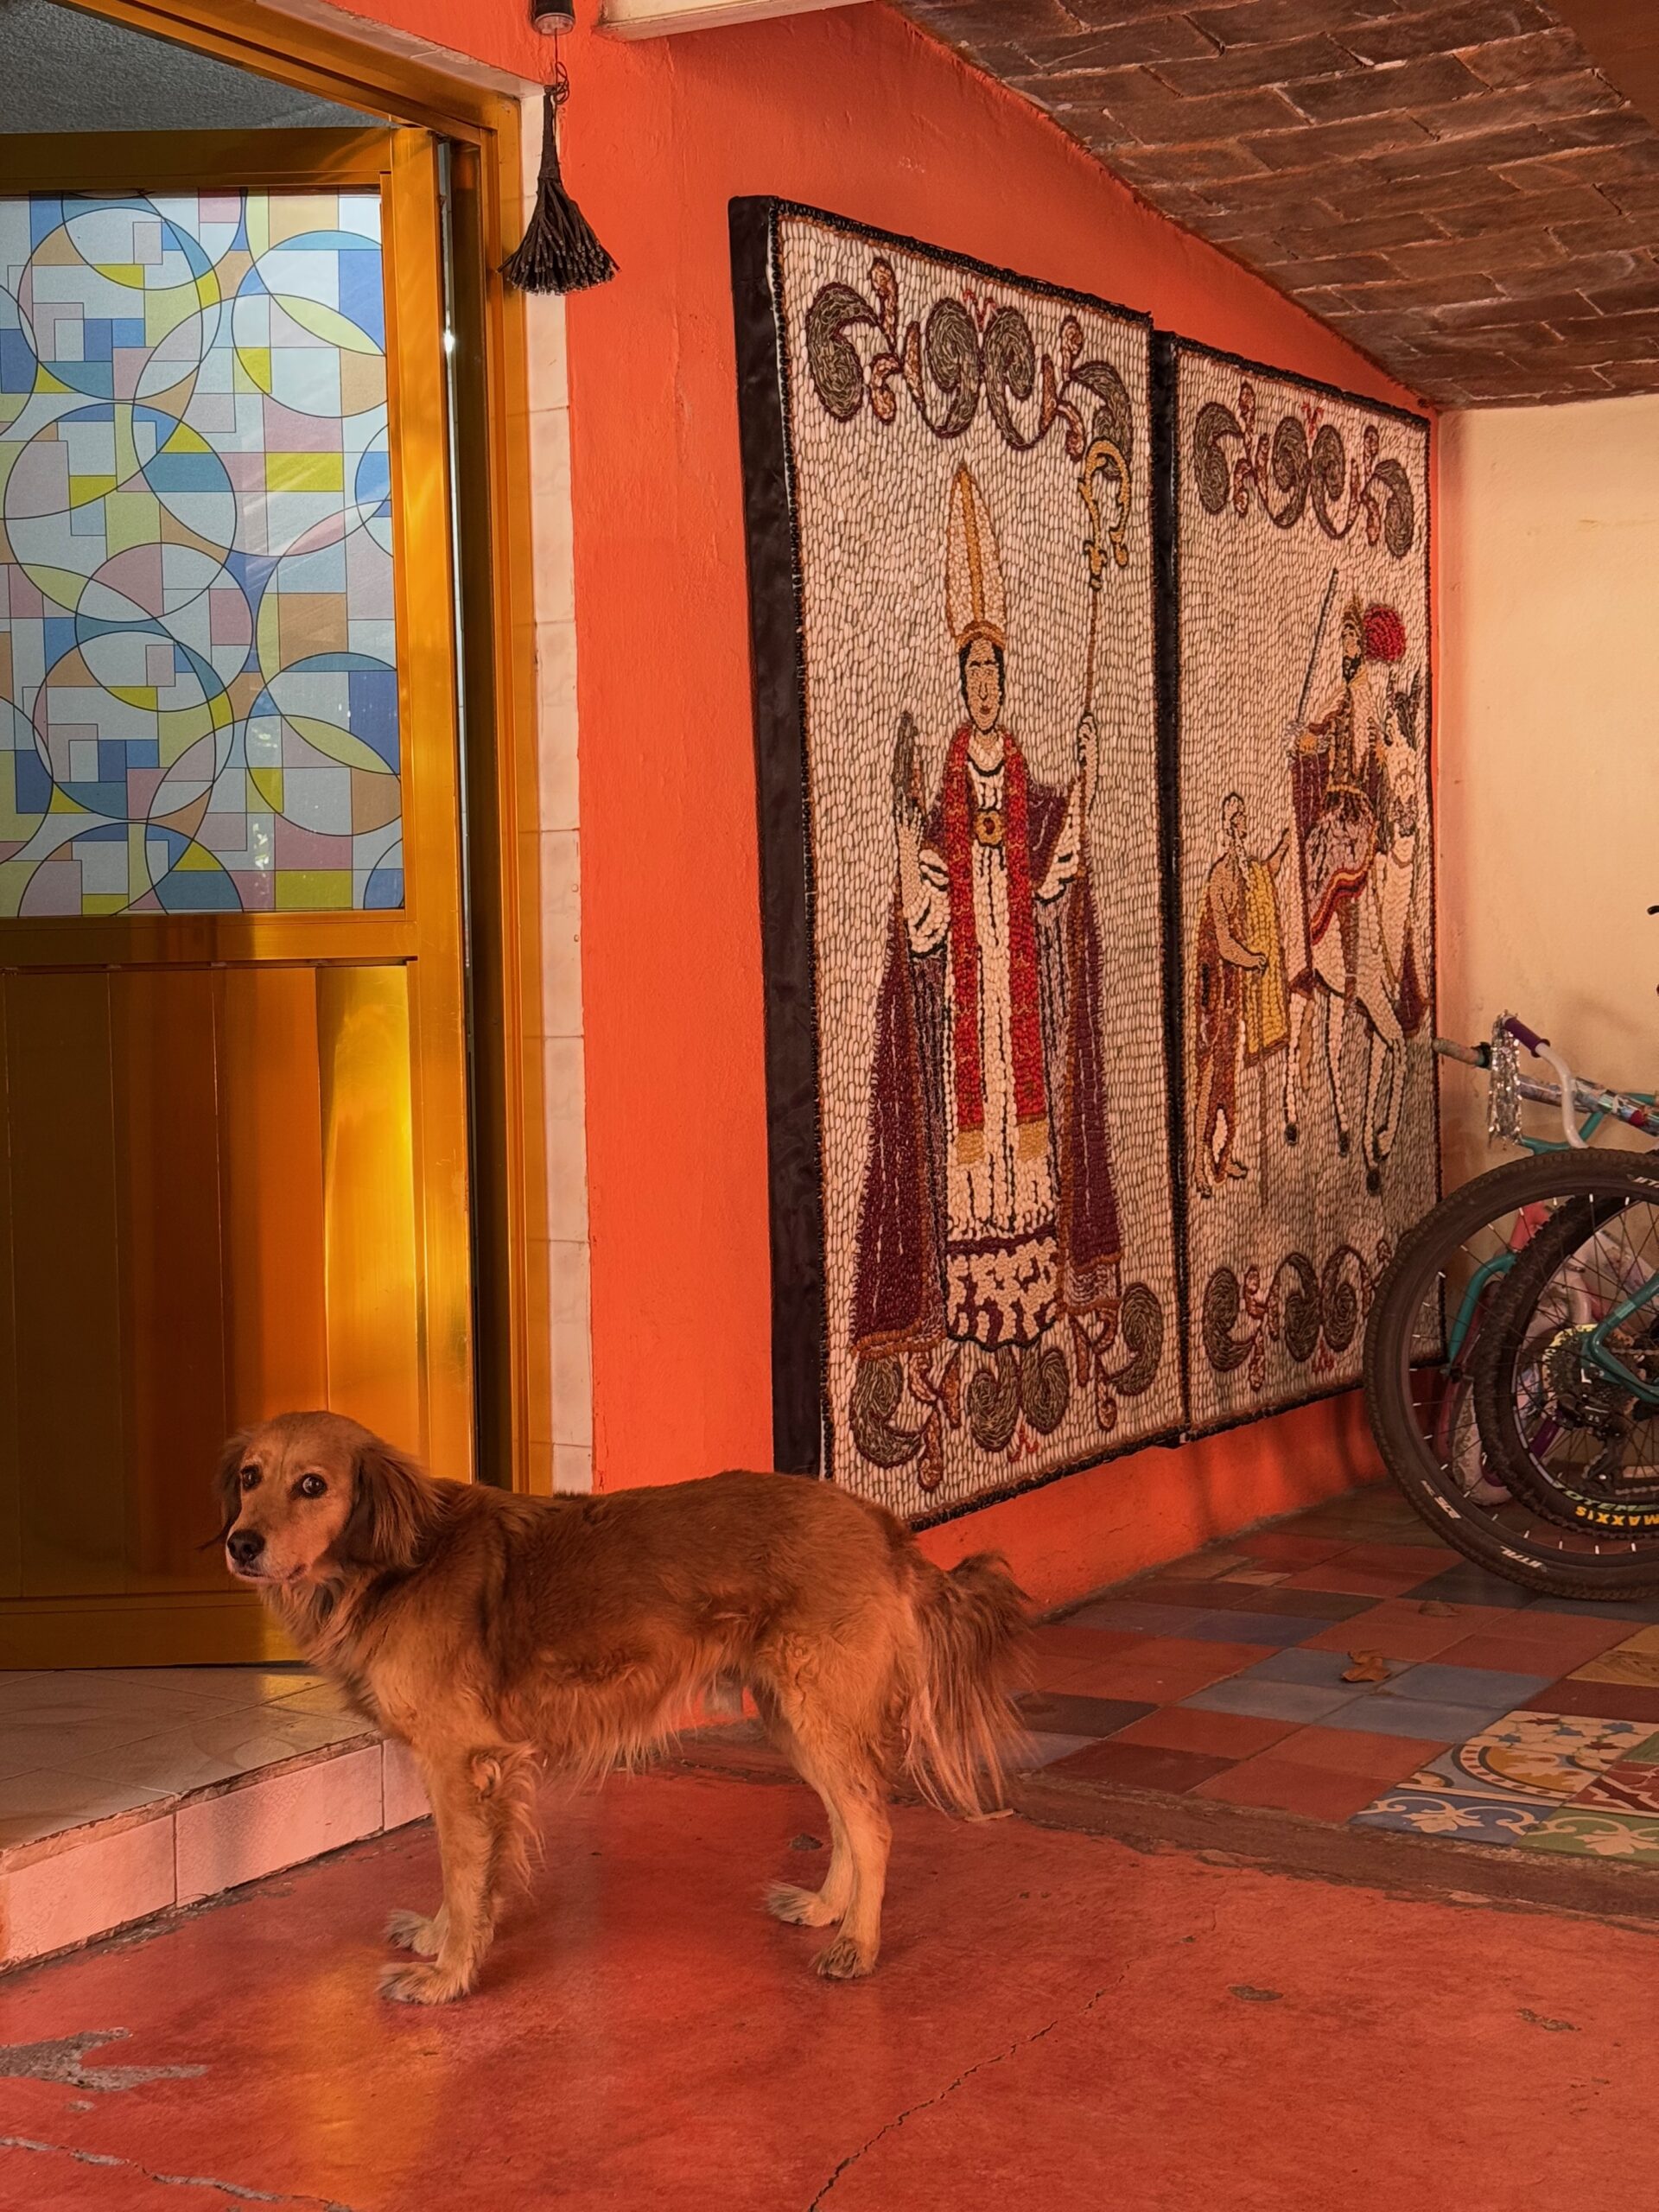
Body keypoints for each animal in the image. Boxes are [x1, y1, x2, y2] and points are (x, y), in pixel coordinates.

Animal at [218, 1412, 1030, 2004]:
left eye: (313, 1485)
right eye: (251, 1477)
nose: (240, 1543)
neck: (394, 1565)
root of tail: (884, 1525)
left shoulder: (465, 1762)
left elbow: (465, 1870)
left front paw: (448, 1976)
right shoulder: (464, 1768)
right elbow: (467, 1869)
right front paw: (442, 1939)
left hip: (815, 1708)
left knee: (874, 1825)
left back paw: (857, 1946)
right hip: (795, 1714)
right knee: (845, 1815)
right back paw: (827, 1910)